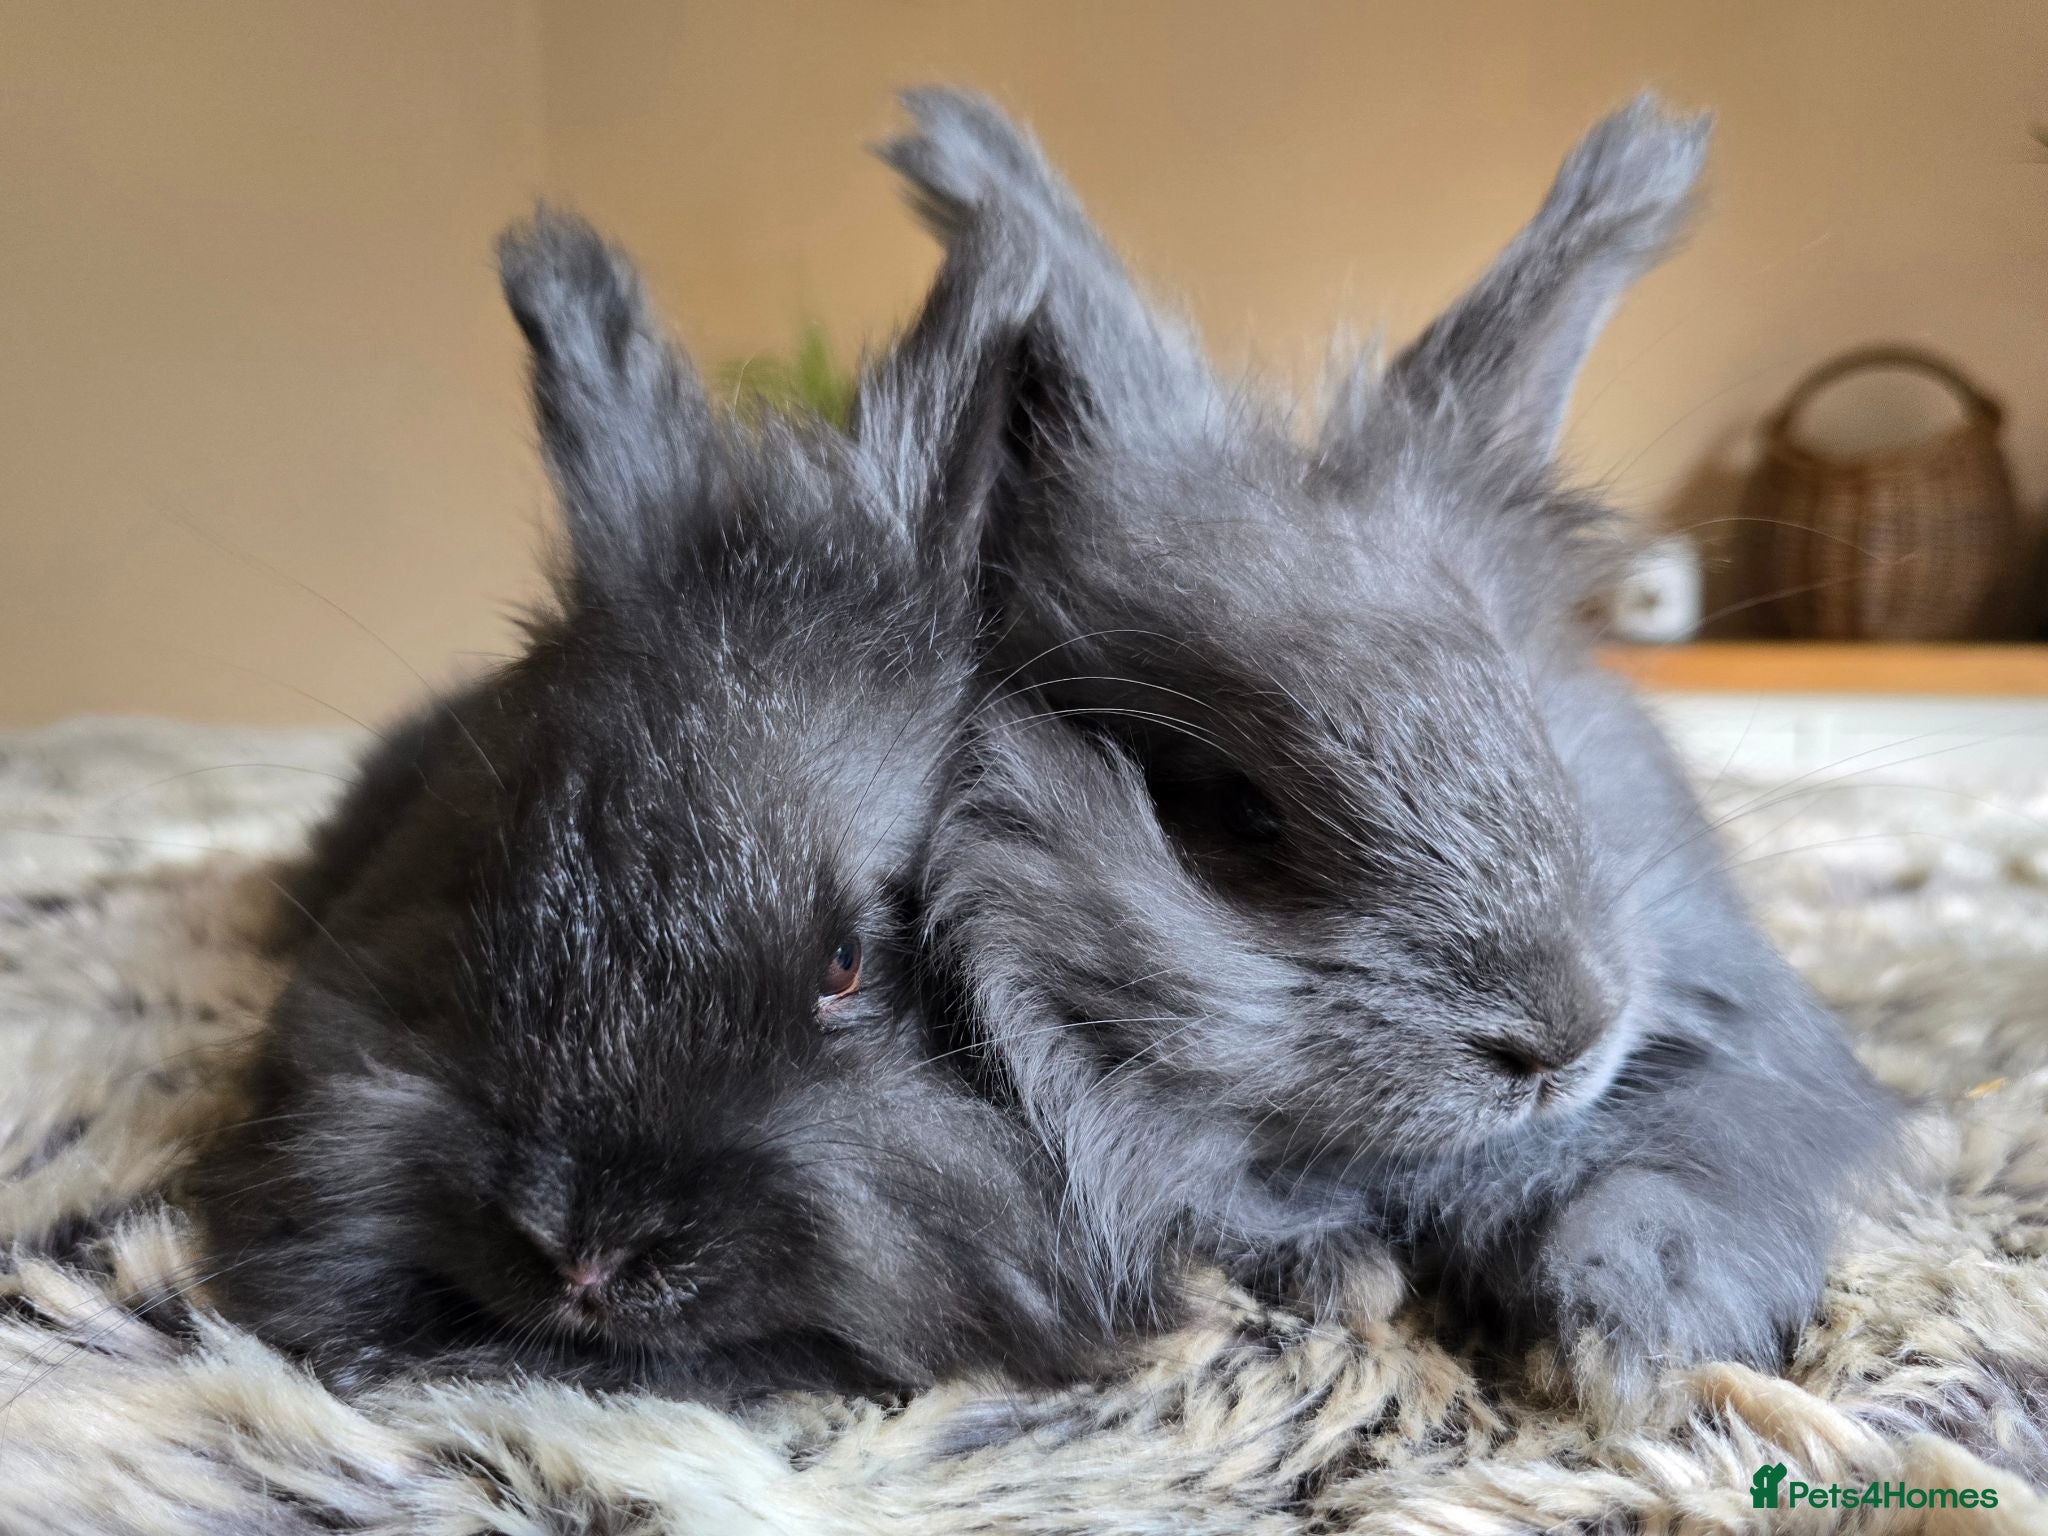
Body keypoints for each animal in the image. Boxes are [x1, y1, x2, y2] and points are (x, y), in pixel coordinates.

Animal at [891, 88, 1900, 1401]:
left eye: (1541, 725)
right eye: (1232, 813)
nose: (1560, 1038)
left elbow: (1668, 1186)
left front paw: (1626, 1344)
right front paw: (1350, 1277)